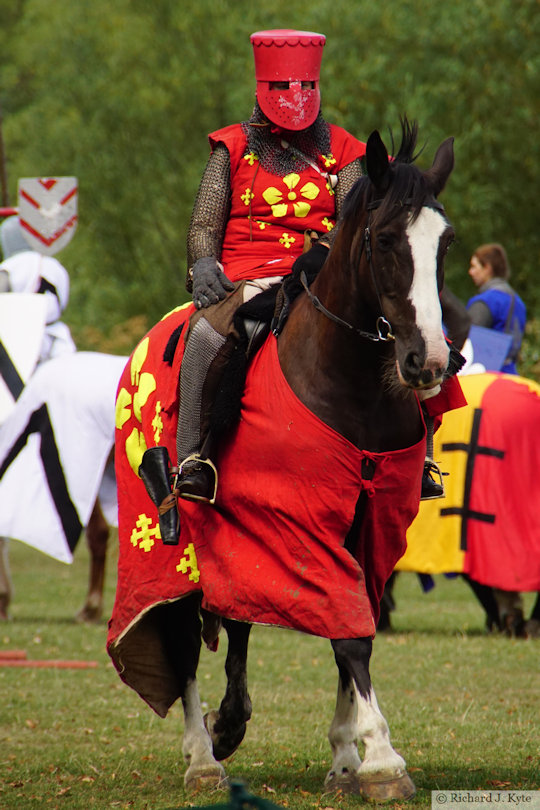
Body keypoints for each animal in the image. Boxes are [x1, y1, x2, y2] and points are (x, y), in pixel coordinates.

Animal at [108, 120, 456, 796]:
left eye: (444, 243)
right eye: (383, 239)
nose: (428, 361)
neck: (350, 382)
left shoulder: (367, 526)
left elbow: (355, 620)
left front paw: (346, 756)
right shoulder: (296, 522)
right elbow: (349, 636)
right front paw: (381, 758)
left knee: (236, 614)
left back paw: (229, 723)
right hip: (176, 543)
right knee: (184, 637)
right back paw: (203, 757)